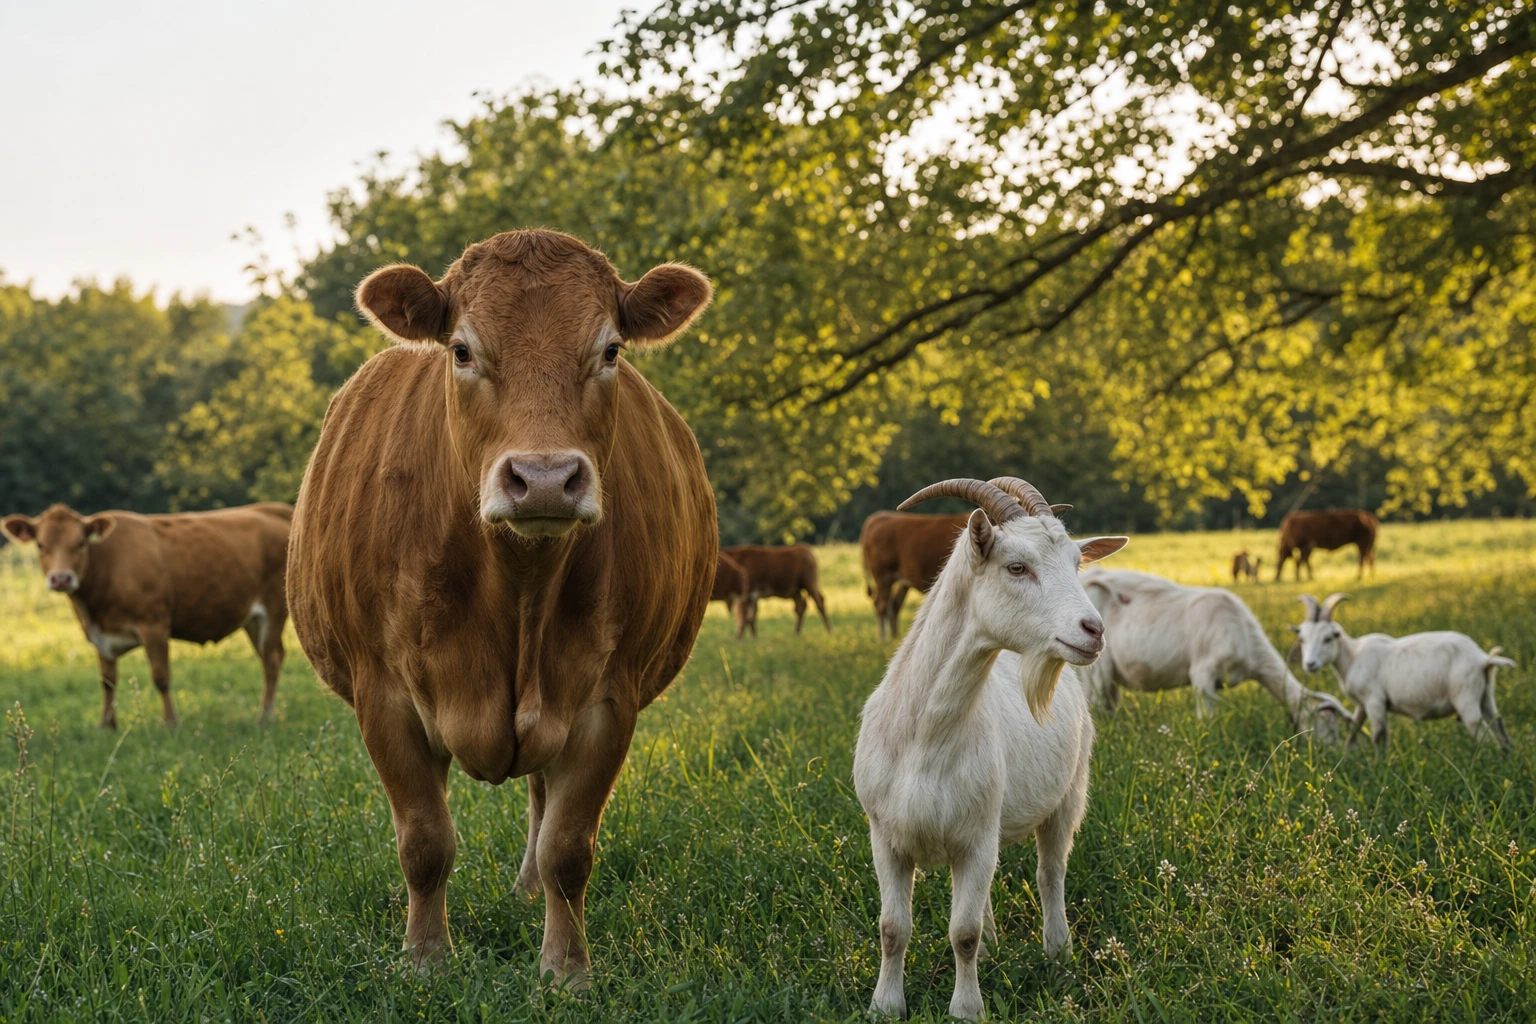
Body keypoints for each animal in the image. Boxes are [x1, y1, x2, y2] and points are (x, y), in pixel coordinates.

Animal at [1, 502, 293, 728]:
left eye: (80, 543)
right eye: (41, 544)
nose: (61, 578)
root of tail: (272, 509)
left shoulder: (154, 625)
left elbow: (161, 677)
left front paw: (171, 723)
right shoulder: (100, 637)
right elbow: (107, 682)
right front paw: (107, 726)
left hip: (275, 609)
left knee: (272, 660)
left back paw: (265, 717)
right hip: (253, 620)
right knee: (269, 658)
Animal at [286, 229, 716, 986]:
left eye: (611, 350)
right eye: (462, 350)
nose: (543, 479)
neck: (517, 586)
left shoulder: (609, 699)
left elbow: (568, 846)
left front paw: (566, 969)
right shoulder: (383, 695)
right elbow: (425, 841)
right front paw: (426, 958)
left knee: (543, 802)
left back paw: (526, 889)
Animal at [859, 510, 967, 639]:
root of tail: (878, 516)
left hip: (900, 581)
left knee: (893, 606)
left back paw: (895, 637)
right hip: (883, 576)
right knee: (881, 604)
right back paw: (883, 639)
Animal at [1078, 570, 1347, 738]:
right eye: (1327, 722)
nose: (1333, 754)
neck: (1243, 635)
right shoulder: (1202, 673)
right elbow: (1207, 718)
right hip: (1096, 671)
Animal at [1293, 593, 1516, 750]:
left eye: (1329, 638)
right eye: (1302, 639)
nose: (1310, 664)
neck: (1352, 656)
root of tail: (1483, 659)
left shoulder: (1374, 700)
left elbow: (1378, 736)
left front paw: (1379, 769)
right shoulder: (1363, 704)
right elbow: (1354, 731)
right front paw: (1345, 760)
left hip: (1465, 696)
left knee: (1484, 735)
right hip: (1485, 695)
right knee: (1499, 725)